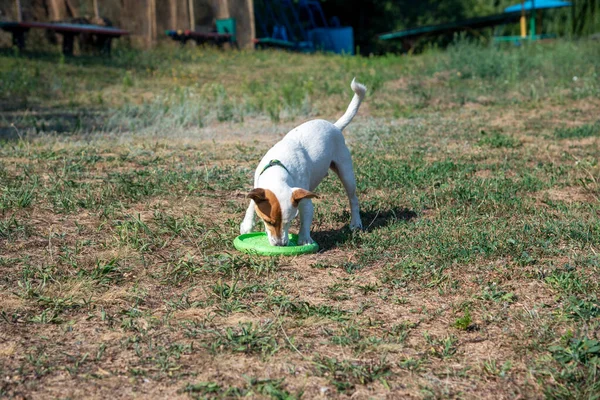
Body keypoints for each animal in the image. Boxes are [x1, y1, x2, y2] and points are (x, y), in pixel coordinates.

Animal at [239, 77, 366, 245]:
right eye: (269, 221)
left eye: (290, 221)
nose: (281, 244)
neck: (278, 170)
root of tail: (335, 126)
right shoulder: (258, 187)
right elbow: (251, 206)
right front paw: (246, 225)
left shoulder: (304, 199)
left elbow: (306, 219)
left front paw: (304, 239)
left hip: (346, 173)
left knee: (353, 199)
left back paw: (356, 223)